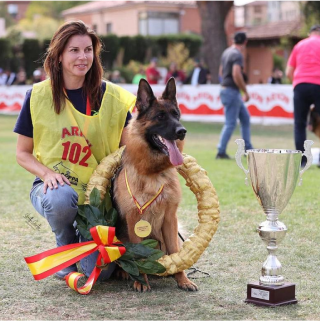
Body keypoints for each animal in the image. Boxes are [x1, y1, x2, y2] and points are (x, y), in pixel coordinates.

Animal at [112, 77, 198, 290]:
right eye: (160, 116)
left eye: (176, 115)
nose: (182, 131)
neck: (153, 172)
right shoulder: (134, 219)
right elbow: (138, 255)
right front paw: (141, 281)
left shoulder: (170, 219)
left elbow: (175, 252)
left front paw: (183, 280)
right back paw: (124, 273)